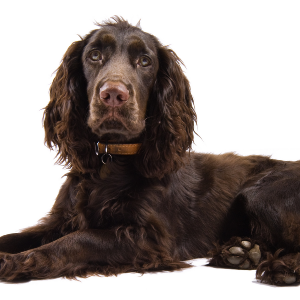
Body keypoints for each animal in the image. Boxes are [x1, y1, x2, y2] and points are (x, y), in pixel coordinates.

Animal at [0, 17, 298, 286]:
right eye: (94, 55)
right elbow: (15, 236)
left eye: (145, 61)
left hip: (260, 193)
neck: (113, 157)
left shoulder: (149, 238)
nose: (113, 94)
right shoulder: (61, 220)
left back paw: (283, 268)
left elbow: (79, 239)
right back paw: (243, 251)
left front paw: (20, 261)